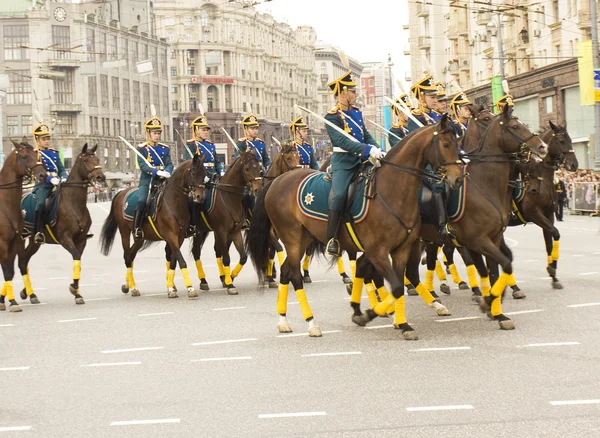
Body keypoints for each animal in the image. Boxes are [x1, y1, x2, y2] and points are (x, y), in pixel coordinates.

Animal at [0, 139, 47, 314]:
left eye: (36, 154)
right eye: (25, 156)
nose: (42, 175)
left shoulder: (15, 242)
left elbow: (11, 271)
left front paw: (9, 301)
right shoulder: (3, 244)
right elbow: (7, 271)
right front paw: (11, 301)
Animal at [16, 142, 105, 306]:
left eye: (97, 158)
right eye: (86, 160)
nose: (101, 176)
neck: (73, 204)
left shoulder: (81, 240)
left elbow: (78, 261)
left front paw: (77, 292)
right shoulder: (65, 238)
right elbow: (76, 256)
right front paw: (74, 288)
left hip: (34, 241)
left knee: (24, 260)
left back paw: (29, 293)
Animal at [100, 153, 206, 298]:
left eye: (205, 173)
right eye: (194, 173)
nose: (200, 197)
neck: (174, 202)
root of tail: (121, 192)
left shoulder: (179, 237)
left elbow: (174, 261)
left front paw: (171, 287)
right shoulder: (171, 236)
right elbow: (181, 260)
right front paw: (189, 288)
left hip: (139, 238)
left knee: (131, 256)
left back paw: (127, 285)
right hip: (124, 233)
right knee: (127, 257)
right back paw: (133, 288)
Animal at [188, 151, 262, 294]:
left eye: (259, 168)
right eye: (247, 168)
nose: (258, 189)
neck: (229, 198)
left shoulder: (235, 232)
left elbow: (243, 257)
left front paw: (230, 276)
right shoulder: (222, 231)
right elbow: (226, 258)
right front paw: (230, 284)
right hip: (198, 231)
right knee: (196, 252)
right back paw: (203, 281)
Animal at [246, 114, 462, 340]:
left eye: (457, 143)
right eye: (446, 144)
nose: (458, 178)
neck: (391, 191)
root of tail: (277, 182)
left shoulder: (401, 249)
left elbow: (398, 286)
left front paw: (401, 323)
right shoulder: (378, 252)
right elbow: (394, 285)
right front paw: (368, 315)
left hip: (304, 238)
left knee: (286, 271)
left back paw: (283, 320)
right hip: (293, 238)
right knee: (294, 274)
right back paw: (311, 322)